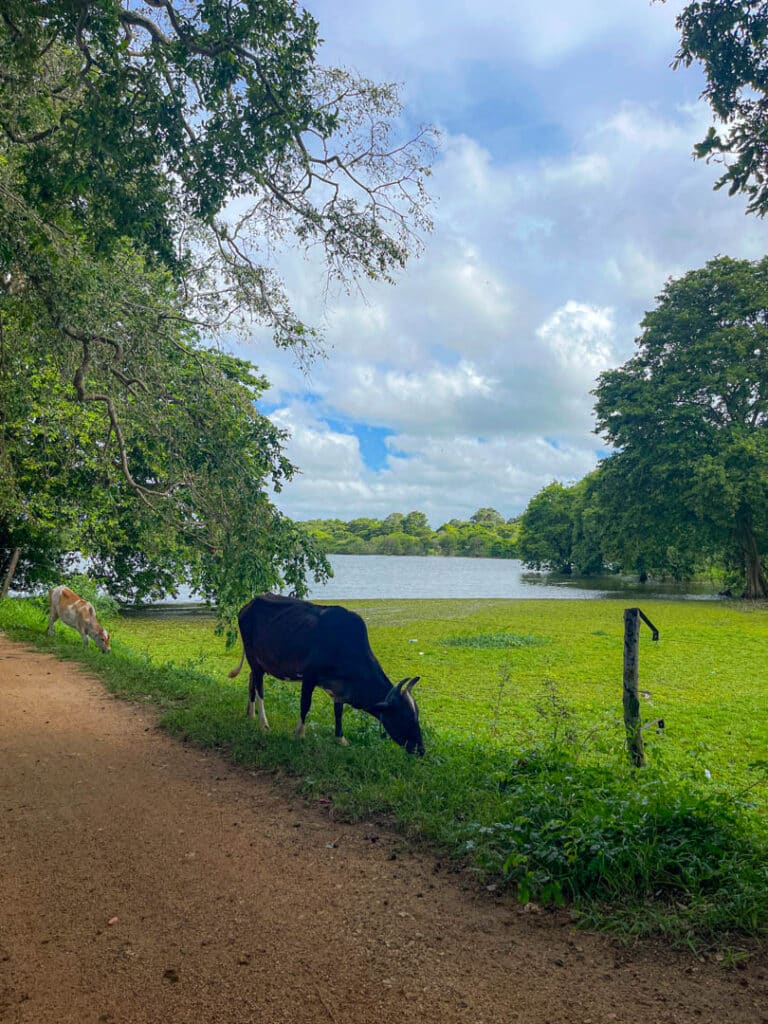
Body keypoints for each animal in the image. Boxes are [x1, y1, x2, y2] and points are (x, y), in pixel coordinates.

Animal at [227, 598, 428, 757]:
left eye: (416, 715)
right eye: (404, 716)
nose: (421, 750)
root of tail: (248, 605)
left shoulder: (339, 688)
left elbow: (338, 711)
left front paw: (340, 738)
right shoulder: (309, 676)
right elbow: (305, 705)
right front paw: (300, 734)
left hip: (259, 662)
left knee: (252, 681)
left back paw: (250, 714)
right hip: (253, 658)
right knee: (260, 688)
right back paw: (263, 723)